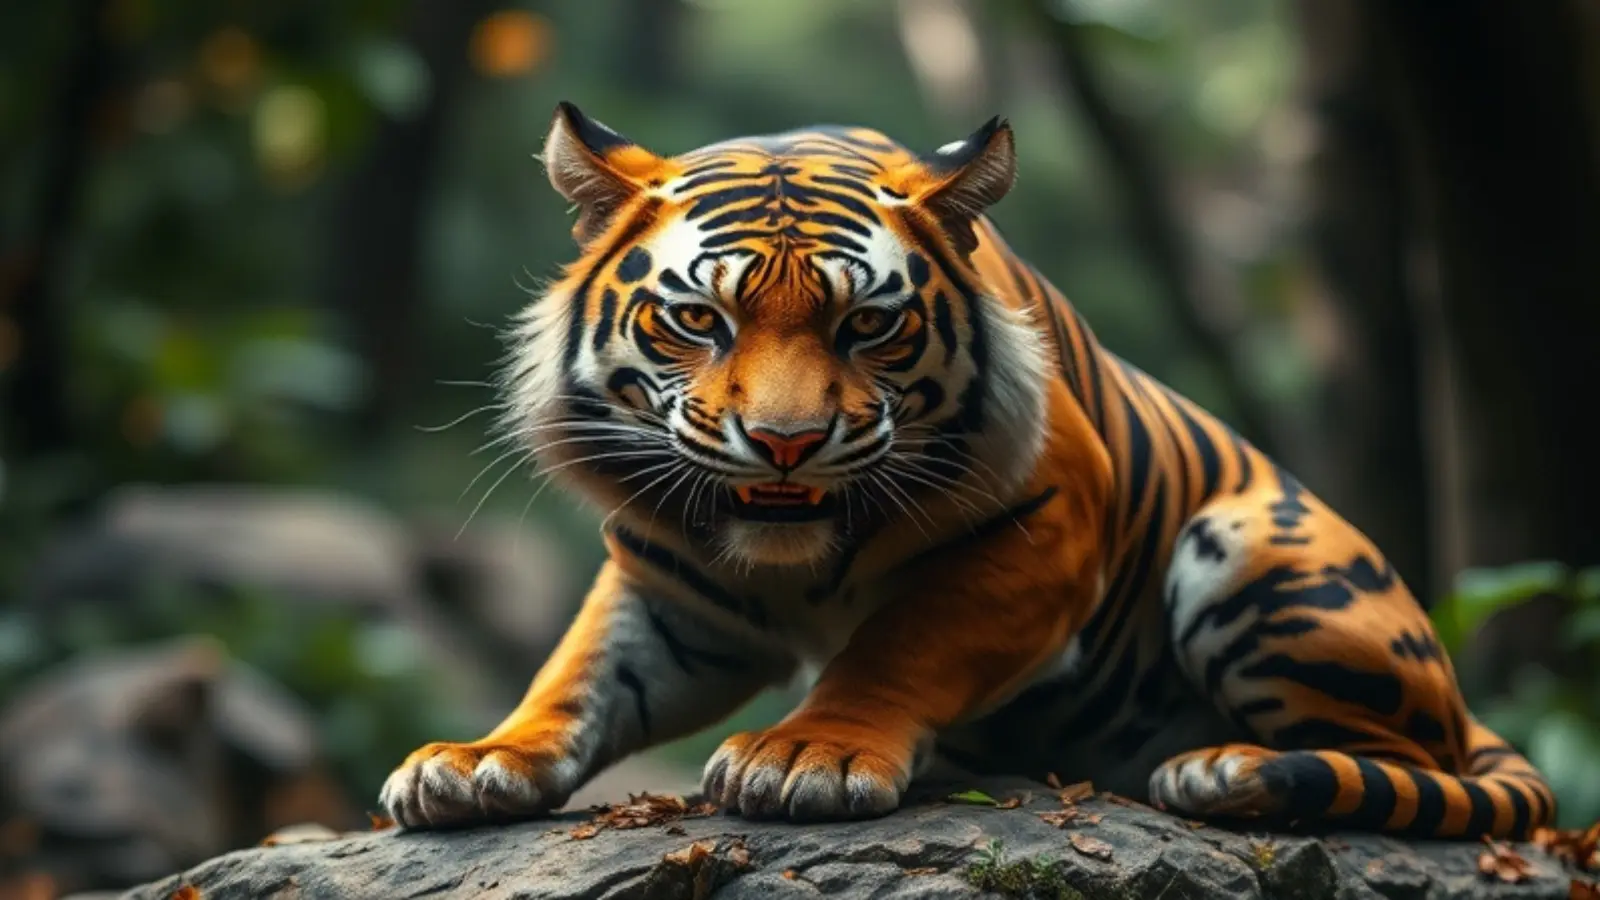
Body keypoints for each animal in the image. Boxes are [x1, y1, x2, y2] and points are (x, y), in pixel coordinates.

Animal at [378, 102, 1555, 840]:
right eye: (700, 321)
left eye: (867, 325)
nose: (786, 442)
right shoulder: (665, 584)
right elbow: (575, 675)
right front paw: (477, 760)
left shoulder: (1048, 529)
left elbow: (900, 644)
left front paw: (805, 756)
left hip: (1255, 555)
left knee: (1402, 767)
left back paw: (1228, 772)